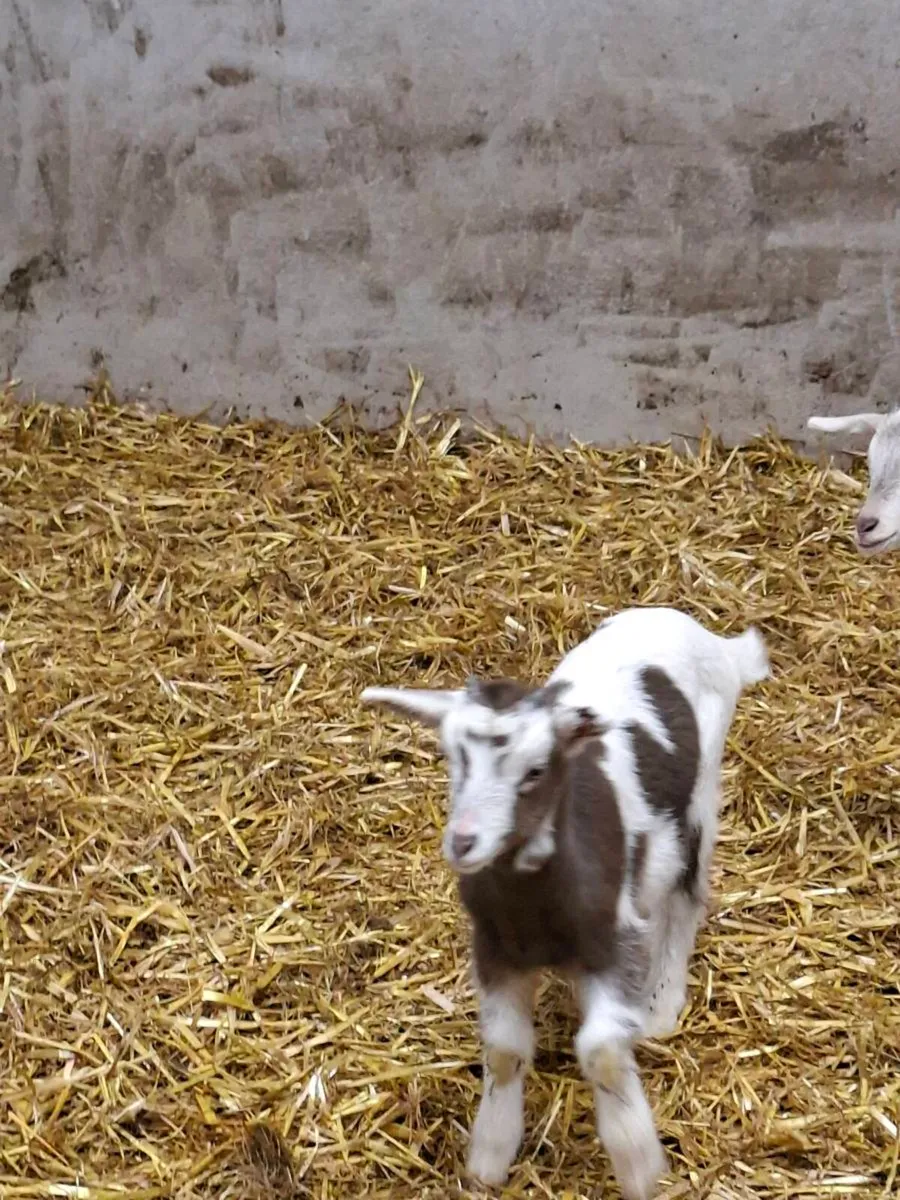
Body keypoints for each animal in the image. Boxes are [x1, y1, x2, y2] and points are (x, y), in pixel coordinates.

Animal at [361, 606, 769, 1199]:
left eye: (534, 771)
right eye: (453, 761)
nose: (464, 842)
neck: (535, 909)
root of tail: (710, 639)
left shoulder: (610, 941)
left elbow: (602, 1054)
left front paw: (639, 1164)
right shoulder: (495, 951)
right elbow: (504, 1052)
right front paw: (490, 1156)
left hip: (701, 799)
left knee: (685, 898)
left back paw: (662, 1002)